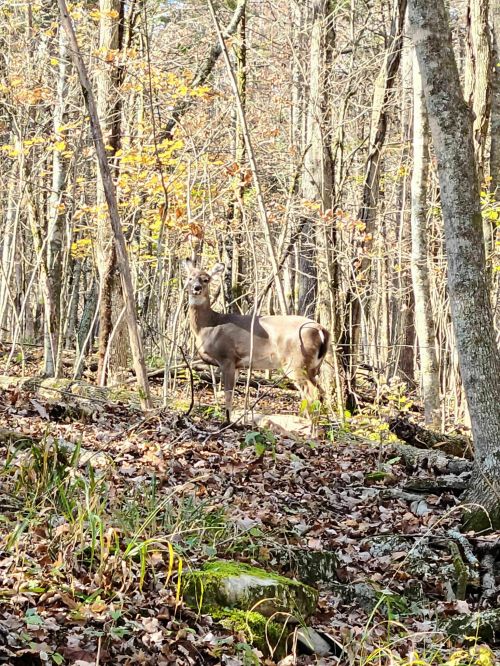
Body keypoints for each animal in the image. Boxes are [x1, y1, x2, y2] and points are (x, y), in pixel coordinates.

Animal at [183, 259, 330, 423]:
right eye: (189, 277)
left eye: (206, 279)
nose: (196, 288)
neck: (208, 326)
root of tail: (321, 329)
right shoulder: (237, 364)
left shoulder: (227, 357)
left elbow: (228, 394)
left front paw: (227, 422)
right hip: (313, 366)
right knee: (321, 392)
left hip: (296, 362)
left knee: (313, 393)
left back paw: (311, 427)